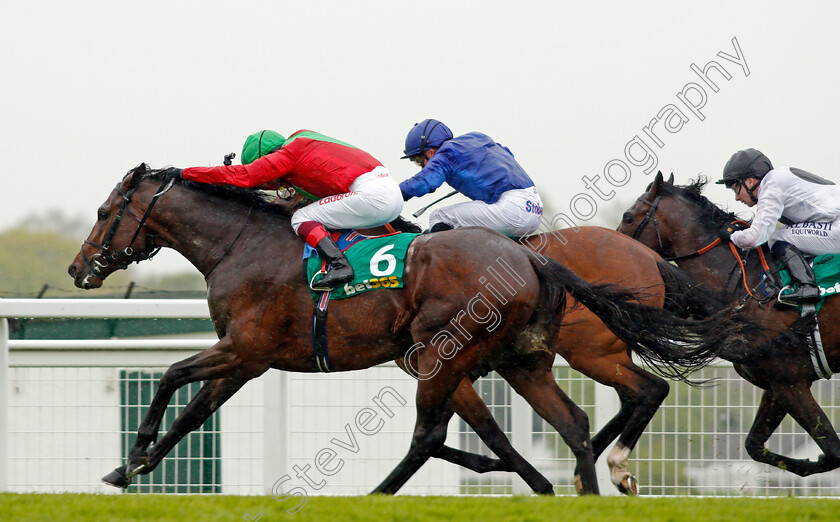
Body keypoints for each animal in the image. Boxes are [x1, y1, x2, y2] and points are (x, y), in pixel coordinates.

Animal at [69, 165, 756, 494]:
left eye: (103, 211)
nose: (80, 267)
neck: (244, 244)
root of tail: (535, 260)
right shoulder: (245, 357)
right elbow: (193, 410)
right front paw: (130, 468)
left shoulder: (245, 348)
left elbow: (171, 376)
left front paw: (134, 455)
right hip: (519, 359)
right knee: (576, 420)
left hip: (488, 352)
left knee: (431, 435)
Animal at [616, 171, 840, 476]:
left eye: (628, 217)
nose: (615, 248)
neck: (746, 287)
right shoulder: (778, 384)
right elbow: (754, 446)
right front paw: (808, 464)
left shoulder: (790, 380)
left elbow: (834, 450)